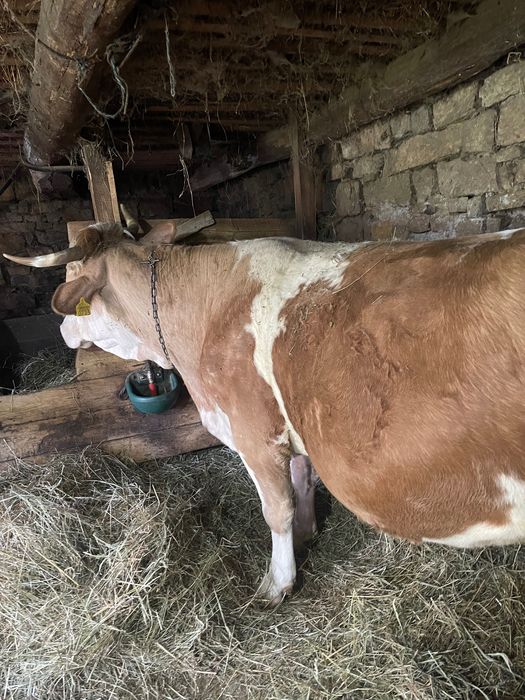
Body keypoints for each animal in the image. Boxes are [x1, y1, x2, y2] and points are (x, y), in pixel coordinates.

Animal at [5, 222, 525, 604]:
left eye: (70, 279)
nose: (63, 329)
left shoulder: (254, 432)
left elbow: (275, 509)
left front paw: (277, 583)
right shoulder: (291, 427)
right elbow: (302, 479)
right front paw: (307, 534)